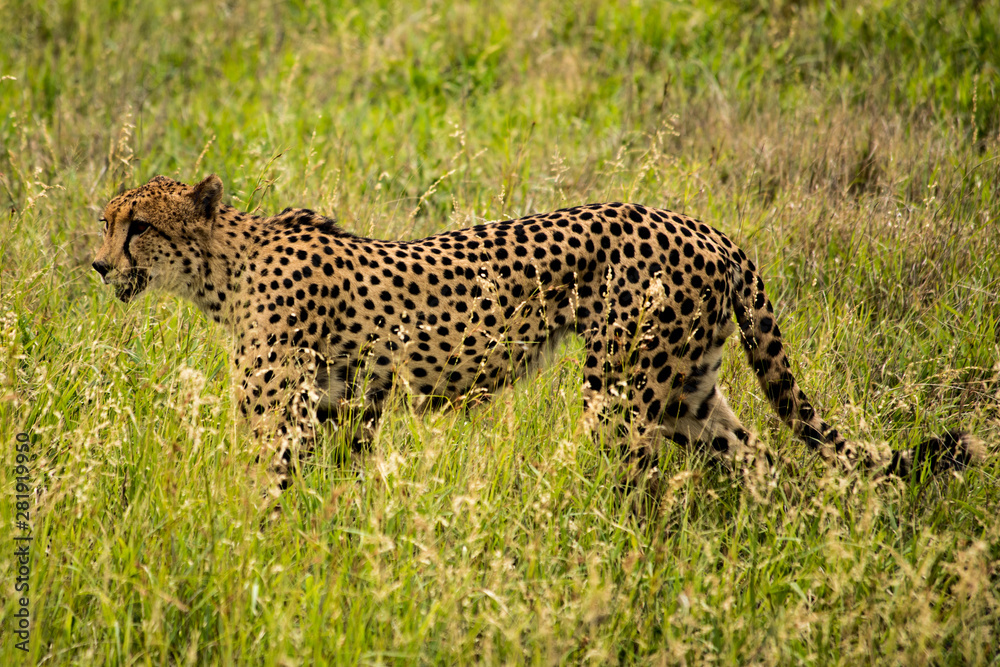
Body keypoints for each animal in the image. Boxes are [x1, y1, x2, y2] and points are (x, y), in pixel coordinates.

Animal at [95, 175, 984, 494]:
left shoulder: (286, 415)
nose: (100, 266)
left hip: (623, 388)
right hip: (687, 387)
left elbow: (263, 489)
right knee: (758, 457)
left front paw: (251, 550)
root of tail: (707, 229)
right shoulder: (345, 406)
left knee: (646, 487)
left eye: (138, 225)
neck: (224, 263)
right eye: (107, 221)